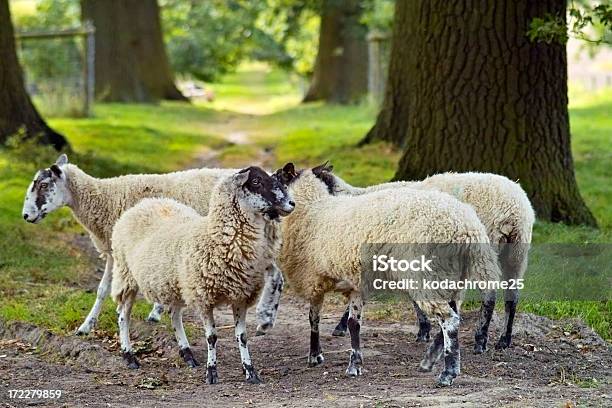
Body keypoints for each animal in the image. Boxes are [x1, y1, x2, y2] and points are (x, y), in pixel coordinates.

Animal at [21, 155, 284, 336]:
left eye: (43, 185)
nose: (25, 216)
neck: (103, 198)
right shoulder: (115, 252)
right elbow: (102, 289)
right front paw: (86, 326)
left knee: (276, 276)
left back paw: (264, 318)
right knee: (276, 274)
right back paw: (265, 319)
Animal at [111, 166, 296, 382]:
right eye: (256, 181)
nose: (291, 203)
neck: (215, 237)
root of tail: (145, 203)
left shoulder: (240, 296)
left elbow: (242, 336)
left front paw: (250, 371)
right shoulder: (203, 297)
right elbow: (212, 337)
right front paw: (211, 372)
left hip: (176, 284)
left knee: (174, 315)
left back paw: (187, 354)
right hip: (125, 275)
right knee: (123, 316)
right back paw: (129, 356)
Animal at [274, 163, 502, 386]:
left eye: (277, 177)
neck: (313, 209)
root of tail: (467, 227)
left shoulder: (313, 279)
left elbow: (313, 319)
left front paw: (315, 356)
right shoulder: (354, 282)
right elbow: (353, 324)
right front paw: (354, 365)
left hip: (427, 275)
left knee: (450, 320)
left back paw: (448, 372)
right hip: (450, 277)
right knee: (453, 314)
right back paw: (428, 361)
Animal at [322, 167, 532, 352]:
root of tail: (513, 212)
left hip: (484, 250)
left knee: (488, 294)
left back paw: (480, 340)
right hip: (516, 253)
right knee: (511, 295)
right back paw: (503, 340)